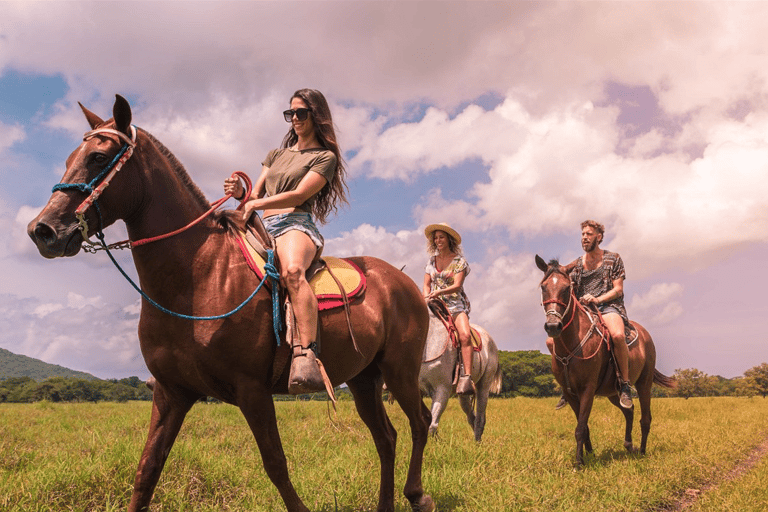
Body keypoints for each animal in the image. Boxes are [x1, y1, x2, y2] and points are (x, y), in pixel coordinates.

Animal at [27, 95, 436, 512]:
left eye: (98, 157)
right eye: (70, 158)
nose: (42, 230)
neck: (198, 276)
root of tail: (403, 282)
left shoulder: (252, 390)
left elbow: (276, 464)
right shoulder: (171, 392)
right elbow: (147, 471)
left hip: (400, 371)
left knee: (419, 423)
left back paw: (417, 495)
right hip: (364, 378)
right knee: (386, 438)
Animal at [416, 310, 500, 442]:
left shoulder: (442, 389)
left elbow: (432, 424)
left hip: (484, 386)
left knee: (480, 418)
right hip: (463, 393)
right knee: (472, 417)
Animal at [536, 254, 672, 466]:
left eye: (566, 288)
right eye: (543, 287)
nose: (552, 326)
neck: (572, 344)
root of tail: (645, 334)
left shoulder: (588, 389)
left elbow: (580, 427)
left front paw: (579, 463)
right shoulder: (570, 392)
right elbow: (584, 426)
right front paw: (589, 455)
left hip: (644, 383)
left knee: (645, 418)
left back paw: (641, 451)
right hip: (612, 393)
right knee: (629, 410)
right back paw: (628, 445)